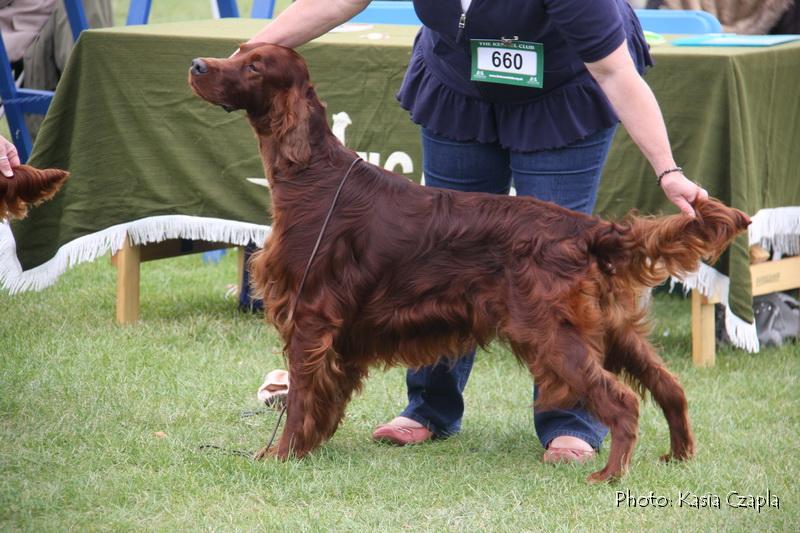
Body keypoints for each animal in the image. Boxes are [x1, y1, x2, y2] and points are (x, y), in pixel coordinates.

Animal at [191, 43, 752, 480]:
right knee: (670, 386)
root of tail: (586, 229)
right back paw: (679, 456)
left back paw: (609, 475)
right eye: (239, 51)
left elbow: (301, 398)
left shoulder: (309, 315)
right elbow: (321, 401)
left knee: (623, 401)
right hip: (610, 328)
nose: (196, 64)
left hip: (550, 334)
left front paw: (278, 456)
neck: (311, 174)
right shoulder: (336, 333)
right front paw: (309, 448)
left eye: (255, 66)